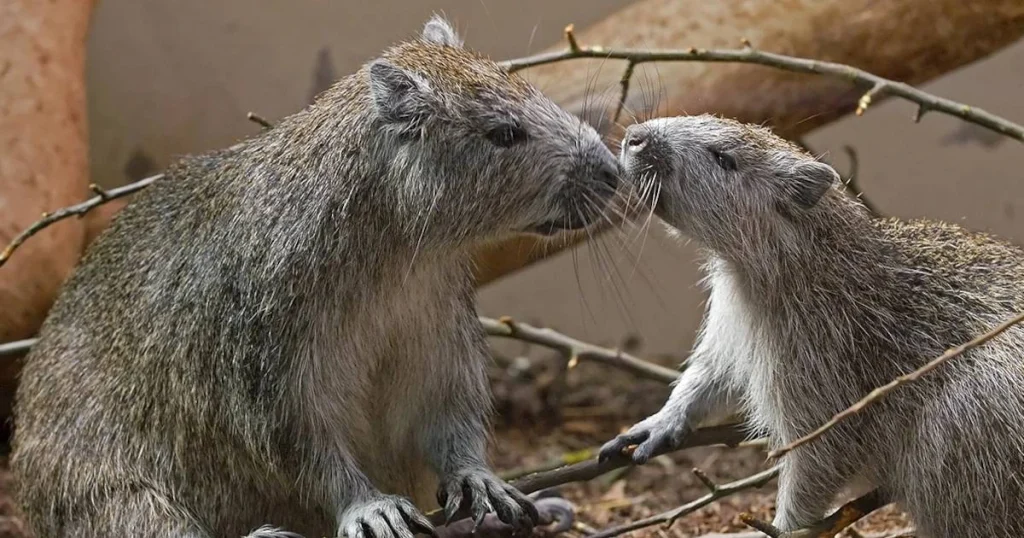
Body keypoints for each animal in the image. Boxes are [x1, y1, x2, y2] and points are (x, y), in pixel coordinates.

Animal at [12, 15, 620, 538]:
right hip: (118, 499)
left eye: (526, 86)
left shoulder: (440, 339)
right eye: (504, 134)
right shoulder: (270, 376)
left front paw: (481, 479)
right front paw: (370, 507)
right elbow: (311, 458)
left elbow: (452, 423)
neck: (396, 256)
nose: (613, 171)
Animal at [601, 114, 1024, 538]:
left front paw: (781, 527)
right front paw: (657, 424)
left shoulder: (822, 384)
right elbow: (710, 374)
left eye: (724, 159)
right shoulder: (731, 329)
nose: (635, 138)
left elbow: (818, 464)